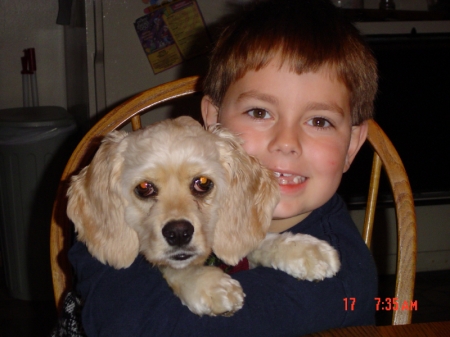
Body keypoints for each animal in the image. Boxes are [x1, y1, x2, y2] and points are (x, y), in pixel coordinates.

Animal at [67, 115, 342, 316]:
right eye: (144, 188)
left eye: (202, 183)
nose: (179, 233)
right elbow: (173, 267)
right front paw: (210, 285)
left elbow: (260, 241)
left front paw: (305, 250)